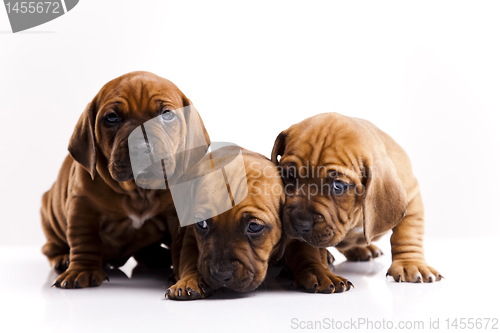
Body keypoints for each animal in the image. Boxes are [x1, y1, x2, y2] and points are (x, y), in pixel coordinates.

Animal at [40, 70, 209, 288]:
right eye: (112, 118)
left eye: (167, 114)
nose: (141, 147)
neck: (139, 192)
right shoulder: (82, 207)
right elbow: (84, 240)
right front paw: (81, 270)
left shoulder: (178, 214)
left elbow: (181, 246)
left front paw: (186, 276)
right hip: (49, 213)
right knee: (51, 247)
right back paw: (63, 259)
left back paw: (156, 256)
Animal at [166, 147, 290, 300]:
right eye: (202, 223)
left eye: (255, 227)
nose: (221, 275)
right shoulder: (190, 235)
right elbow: (190, 257)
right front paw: (189, 280)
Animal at [274, 111, 442, 288]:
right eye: (287, 175)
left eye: (339, 185)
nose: (300, 224)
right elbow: (307, 250)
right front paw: (318, 272)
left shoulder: (411, 197)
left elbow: (408, 234)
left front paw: (411, 264)